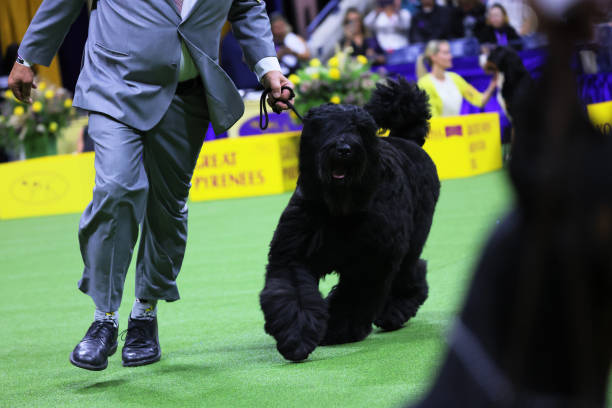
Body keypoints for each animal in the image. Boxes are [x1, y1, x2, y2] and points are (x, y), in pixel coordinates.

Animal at [258, 78, 440, 362]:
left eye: (361, 128)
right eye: (325, 126)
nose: (344, 149)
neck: (339, 209)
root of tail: (407, 141)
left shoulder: (371, 262)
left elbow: (353, 298)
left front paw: (336, 330)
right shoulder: (292, 254)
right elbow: (294, 293)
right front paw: (296, 336)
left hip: (411, 241)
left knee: (412, 271)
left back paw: (395, 311)